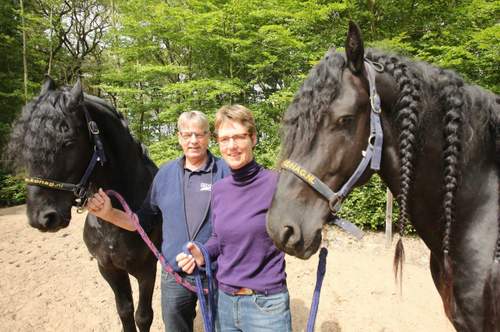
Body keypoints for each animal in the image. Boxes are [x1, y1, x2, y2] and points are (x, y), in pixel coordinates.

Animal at [5, 78, 162, 332]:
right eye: (26, 144)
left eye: (68, 143)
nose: (42, 218)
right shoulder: (108, 269)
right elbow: (125, 311)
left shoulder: (147, 270)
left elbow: (143, 316)